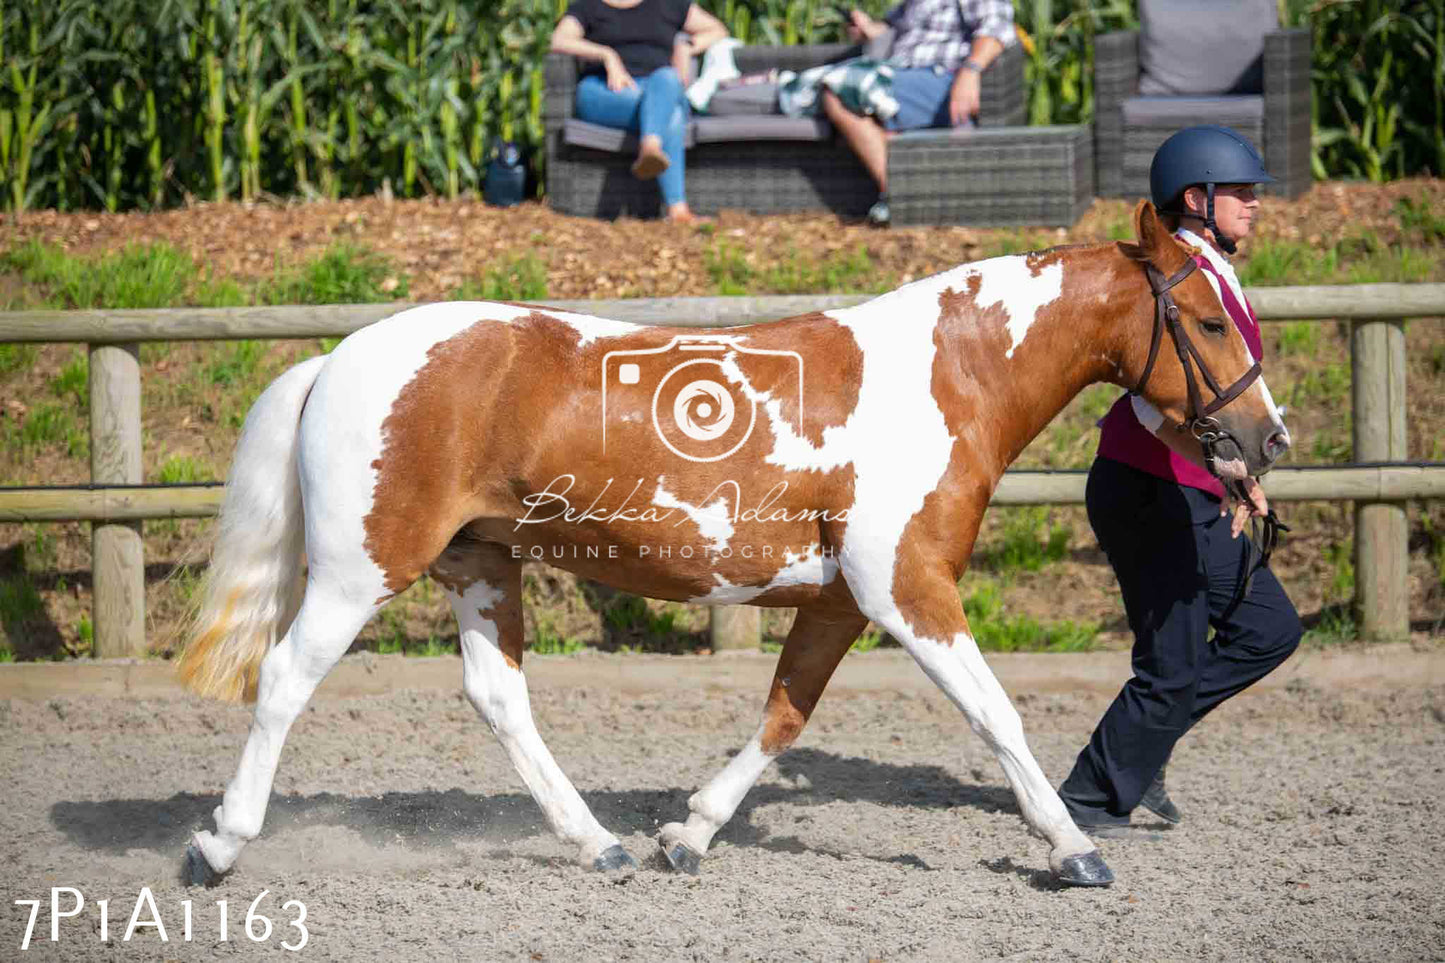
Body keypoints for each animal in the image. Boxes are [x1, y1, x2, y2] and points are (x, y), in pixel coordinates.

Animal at [177, 200, 1288, 884]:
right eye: (1205, 319)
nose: (1265, 437)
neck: (945, 381)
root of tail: (334, 359)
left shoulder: (840, 601)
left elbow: (782, 716)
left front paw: (687, 833)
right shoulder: (908, 588)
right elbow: (997, 717)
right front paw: (1071, 850)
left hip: (484, 564)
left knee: (498, 698)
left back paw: (600, 845)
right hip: (362, 570)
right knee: (284, 680)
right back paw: (218, 845)